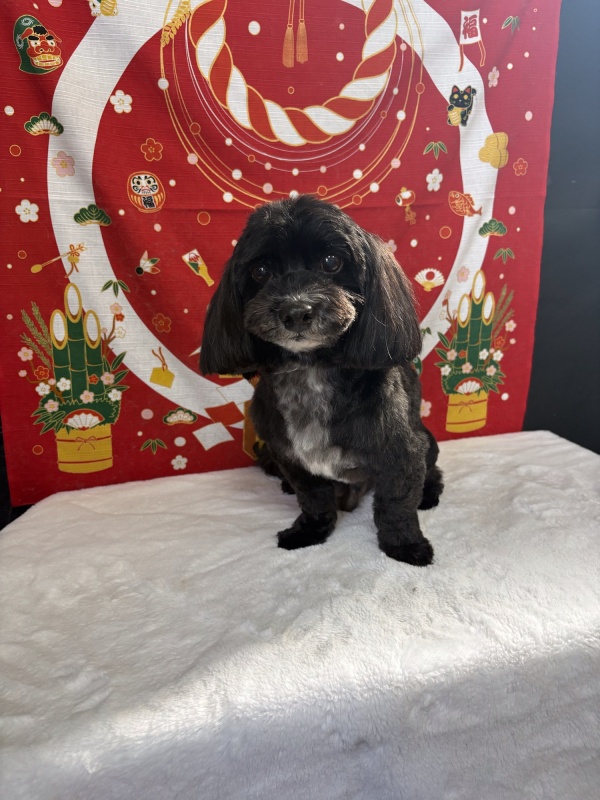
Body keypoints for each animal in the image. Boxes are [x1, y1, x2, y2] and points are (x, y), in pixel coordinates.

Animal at [200, 195, 443, 566]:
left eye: (331, 262)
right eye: (260, 271)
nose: (296, 311)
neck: (311, 373)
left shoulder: (402, 453)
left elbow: (396, 504)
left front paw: (405, 545)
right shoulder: (289, 457)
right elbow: (313, 498)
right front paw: (310, 532)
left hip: (427, 441)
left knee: (432, 472)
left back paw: (429, 494)